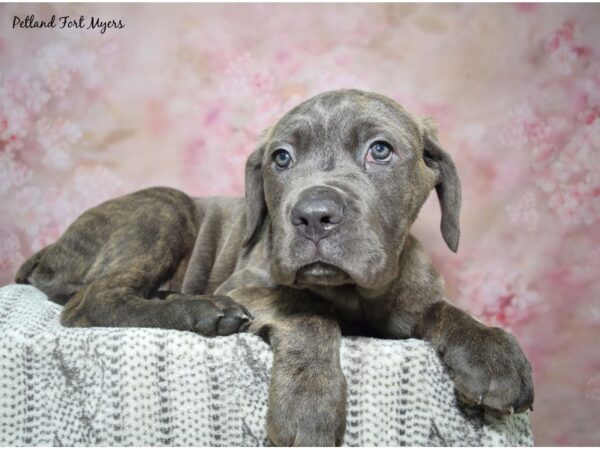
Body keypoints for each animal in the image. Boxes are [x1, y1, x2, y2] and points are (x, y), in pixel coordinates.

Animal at [16, 89, 536, 446]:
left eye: (380, 150)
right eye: (280, 158)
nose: (313, 216)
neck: (353, 293)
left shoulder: (409, 301)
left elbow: (443, 310)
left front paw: (491, 351)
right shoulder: (247, 285)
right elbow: (307, 310)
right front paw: (309, 404)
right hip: (164, 207)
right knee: (93, 300)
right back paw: (202, 309)